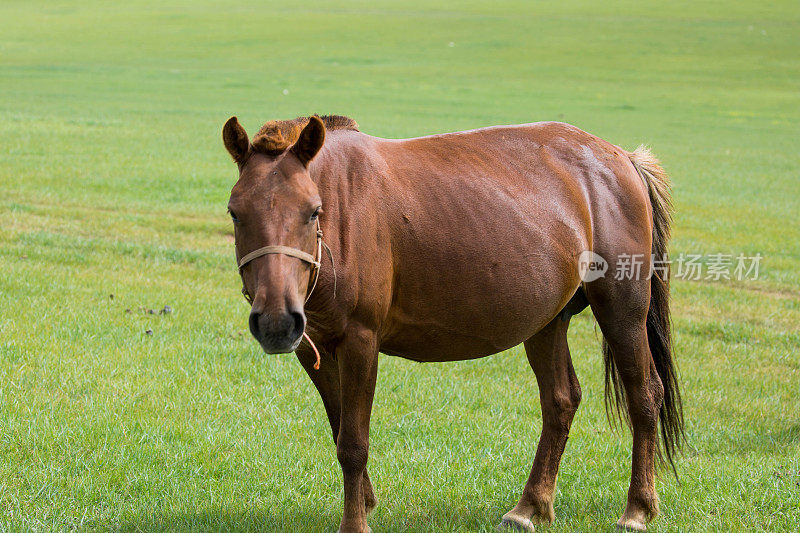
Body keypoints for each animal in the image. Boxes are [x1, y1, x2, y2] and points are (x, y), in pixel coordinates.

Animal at [223, 115, 680, 532]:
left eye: (313, 211)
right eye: (235, 213)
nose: (276, 320)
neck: (340, 211)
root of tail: (622, 159)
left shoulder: (360, 341)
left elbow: (353, 442)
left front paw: (354, 523)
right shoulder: (312, 346)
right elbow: (340, 430)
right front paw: (365, 502)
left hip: (622, 308)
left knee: (645, 394)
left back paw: (638, 508)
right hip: (547, 321)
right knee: (561, 400)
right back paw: (530, 506)